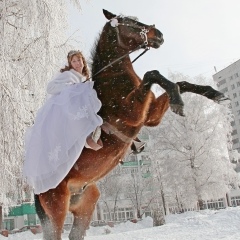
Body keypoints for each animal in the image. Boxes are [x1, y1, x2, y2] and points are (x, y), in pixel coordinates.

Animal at [34, 8, 227, 239]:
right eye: (129, 23)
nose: (159, 35)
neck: (113, 78)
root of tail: (36, 188)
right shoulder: (133, 113)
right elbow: (152, 74)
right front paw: (179, 102)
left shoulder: (150, 116)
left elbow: (179, 83)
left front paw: (213, 94)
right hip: (58, 207)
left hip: (85, 203)